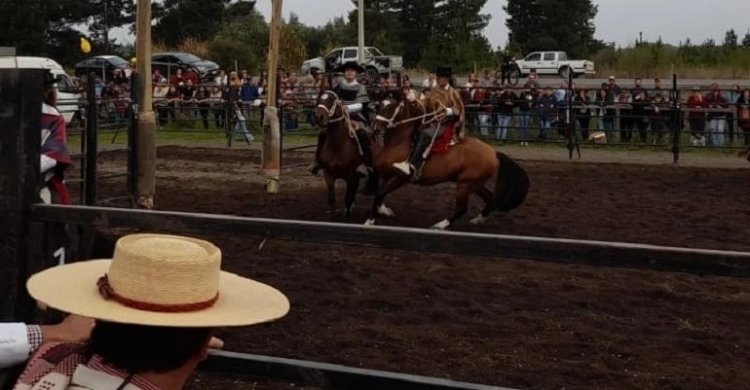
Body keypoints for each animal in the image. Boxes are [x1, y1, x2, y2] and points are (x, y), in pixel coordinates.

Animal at [368, 92, 532, 229]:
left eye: (390, 107)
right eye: (379, 105)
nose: (375, 127)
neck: (400, 143)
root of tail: (493, 152)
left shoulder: (401, 178)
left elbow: (379, 193)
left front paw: (370, 220)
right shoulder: (385, 174)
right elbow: (379, 194)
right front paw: (383, 211)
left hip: (465, 185)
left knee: (461, 209)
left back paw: (440, 225)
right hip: (475, 183)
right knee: (489, 198)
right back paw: (478, 219)